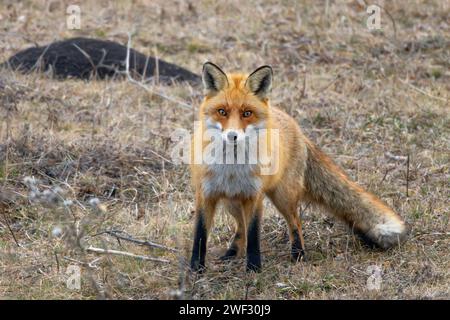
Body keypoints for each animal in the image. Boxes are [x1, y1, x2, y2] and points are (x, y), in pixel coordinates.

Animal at [189, 61, 408, 272]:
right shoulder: (205, 194)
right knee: (241, 226)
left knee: (295, 223)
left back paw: (298, 254)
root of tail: (297, 128)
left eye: (247, 113)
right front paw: (196, 269)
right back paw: (233, 253)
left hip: (282, 196)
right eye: (222, 112)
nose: (232, 136)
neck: (231, 166)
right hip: (232, 201)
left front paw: (253, 269)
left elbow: (253, 236)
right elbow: (201, 234)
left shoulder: (254, 196)